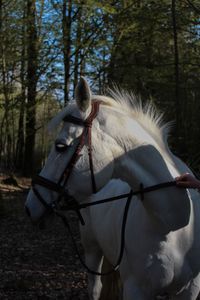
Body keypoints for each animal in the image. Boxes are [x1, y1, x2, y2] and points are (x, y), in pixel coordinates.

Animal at [25, 78, 200, 300]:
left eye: (60, 146)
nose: (30, 206)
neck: (172, 225)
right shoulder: (136, 289)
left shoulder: (190, 289)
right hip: (91, 248)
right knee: (94, 288)